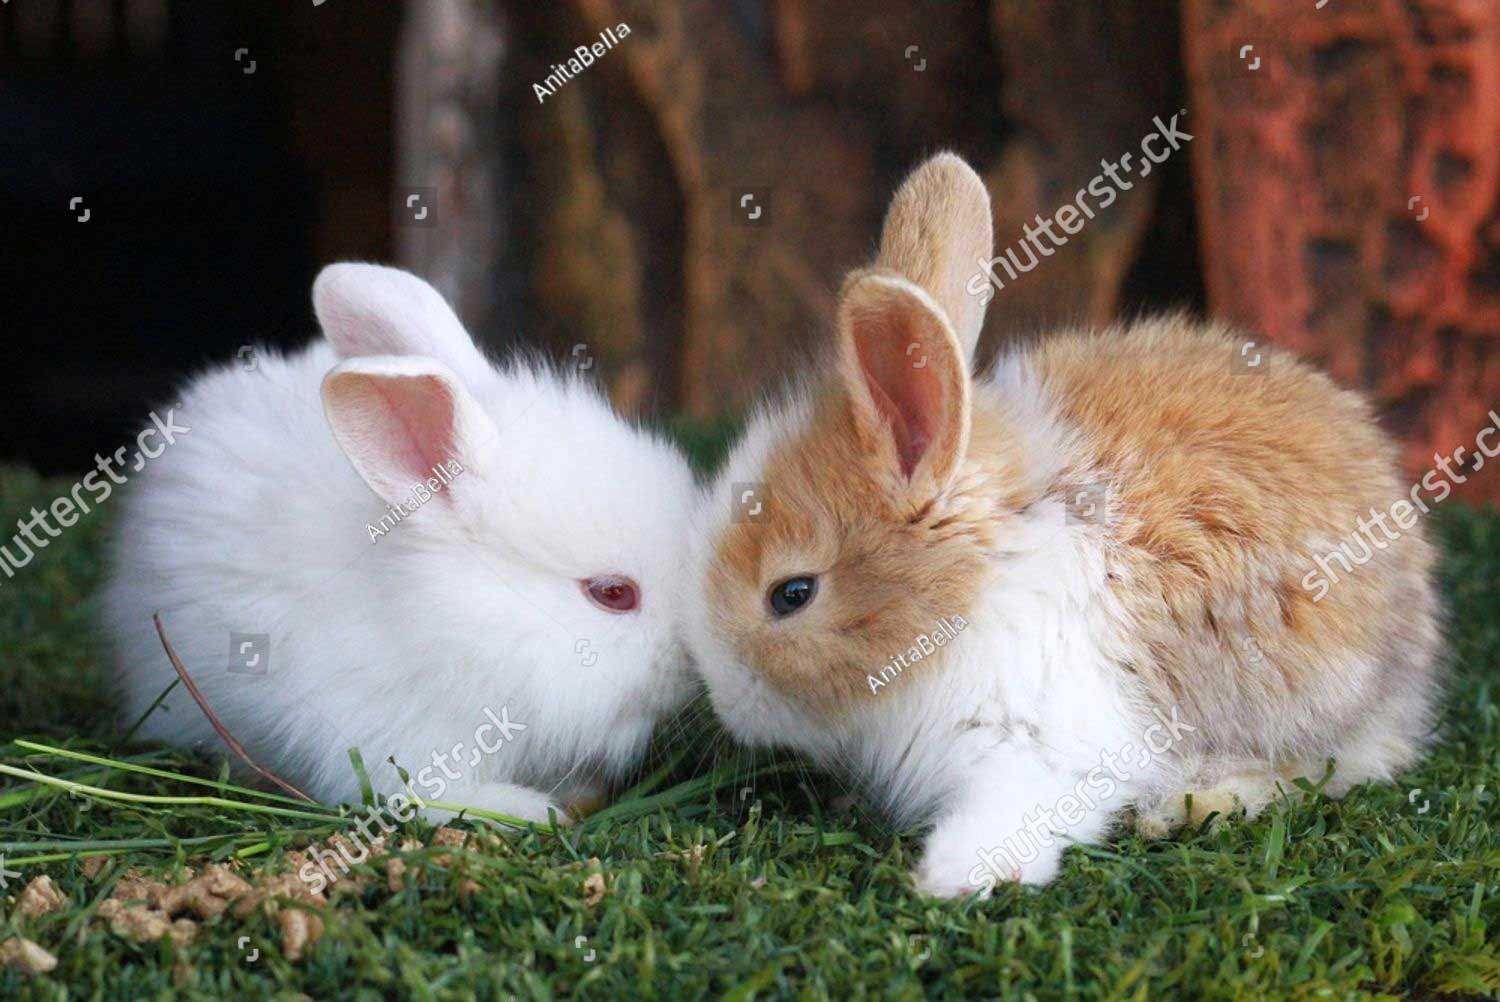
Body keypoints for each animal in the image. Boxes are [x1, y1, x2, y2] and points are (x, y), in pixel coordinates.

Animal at [684, 153, 1442, 896]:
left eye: (792, 594)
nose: (721, 699)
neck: (974, 586)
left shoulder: (1038, 743)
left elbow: (1018, 809)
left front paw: (955, 874)